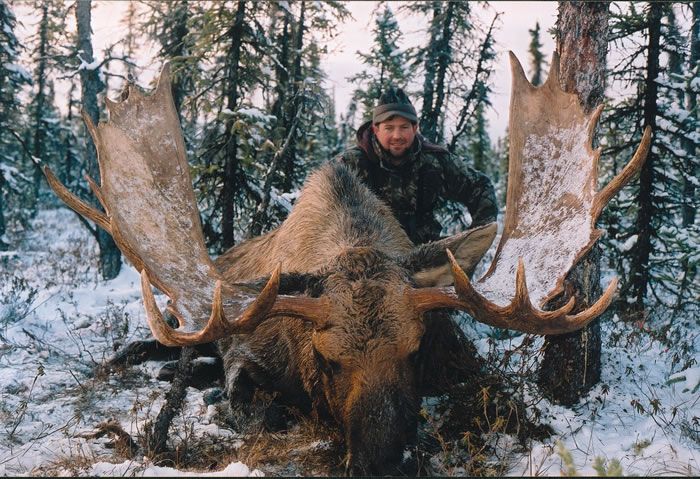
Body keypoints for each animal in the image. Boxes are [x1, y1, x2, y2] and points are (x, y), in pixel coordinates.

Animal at [44, 52, 650, 475]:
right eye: (327, 359)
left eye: (415, 351)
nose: (382, 465)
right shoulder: (248, 352)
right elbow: (251, 401)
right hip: (191, 323)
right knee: (150, 346)